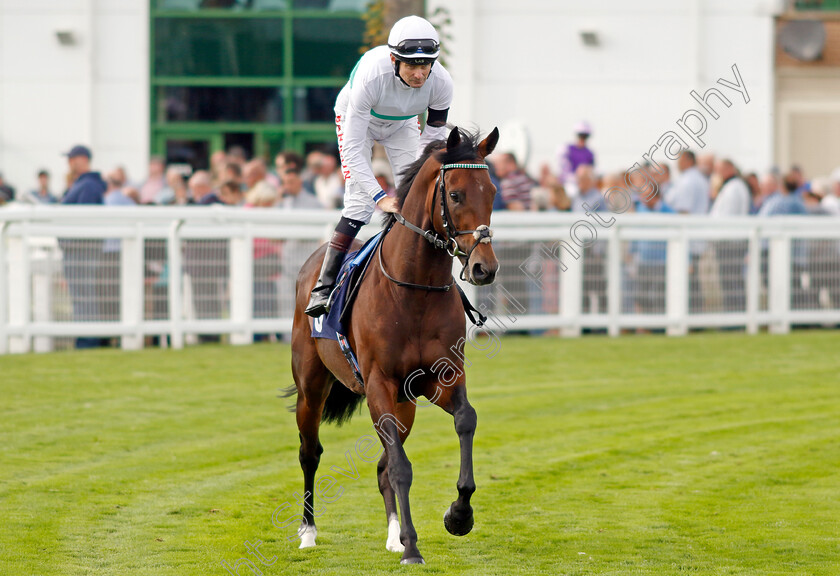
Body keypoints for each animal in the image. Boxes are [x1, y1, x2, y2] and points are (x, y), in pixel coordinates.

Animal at [288, 126, 498, 564]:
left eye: (491, 192)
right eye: (456, 194)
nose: (484, 268)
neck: (414, 288)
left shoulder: (440, 379)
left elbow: (465, 420)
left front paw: (458, 515)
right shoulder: (379, 384)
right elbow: (402, 467)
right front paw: (414, 548)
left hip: (405, 404)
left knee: (384, 463)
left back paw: (393, 535)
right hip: (311, 387)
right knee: (310, 453)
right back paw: (308, 531)